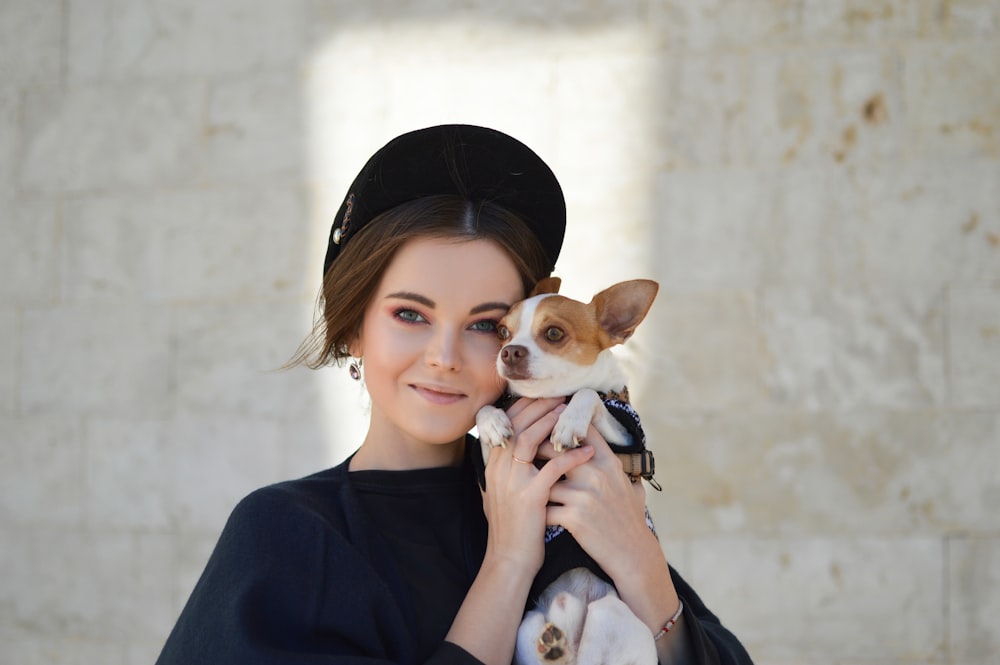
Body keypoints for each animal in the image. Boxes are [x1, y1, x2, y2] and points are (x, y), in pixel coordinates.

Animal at [474, 278, 660, 664]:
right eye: (502, 332)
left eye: (554, 333)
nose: (508, 351)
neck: (548, 398)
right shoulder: (487, 465)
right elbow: (485, 410)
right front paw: (493, 422)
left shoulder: (626, 436)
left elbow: (587, 393)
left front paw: (568, 422)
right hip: (529, 624)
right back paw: (555, 646)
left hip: (610, 614)